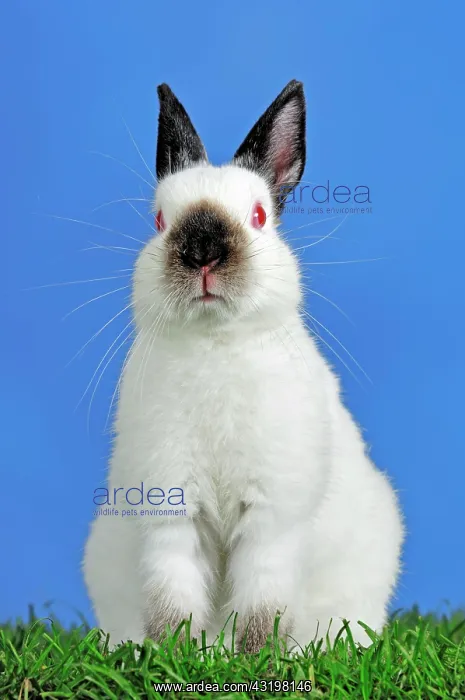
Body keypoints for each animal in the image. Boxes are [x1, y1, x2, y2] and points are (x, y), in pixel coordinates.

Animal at [83, 79, 404, 654]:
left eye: (258, 217)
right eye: (159, 221)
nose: (203, 251)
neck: (215, 342)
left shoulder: (271, 518)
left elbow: (260, 602)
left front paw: (256, 660)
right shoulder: (170, 508)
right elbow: (173, 595)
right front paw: (178, 655)